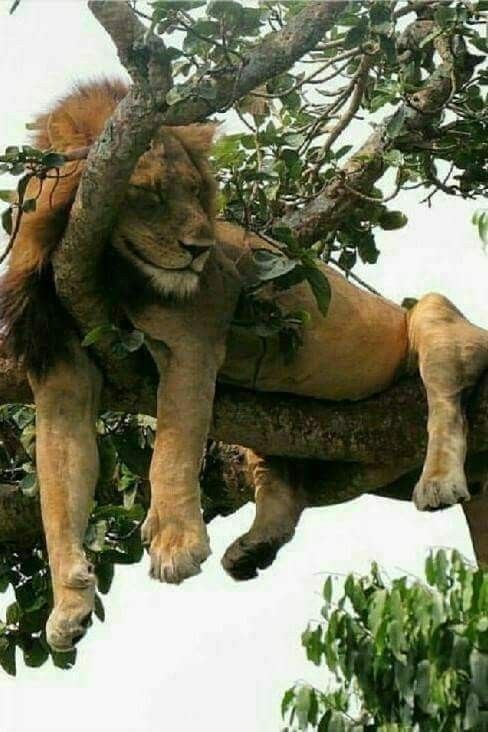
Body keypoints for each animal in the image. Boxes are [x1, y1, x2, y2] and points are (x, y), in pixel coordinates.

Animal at [1, 79, 488, 652]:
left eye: (194, 191)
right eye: (149, 194)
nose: (200, 248)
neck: (102, 270)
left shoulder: (194, 336)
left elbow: (171, 449)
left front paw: (175, 543)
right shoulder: (61, 368)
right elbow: (58, 488)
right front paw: (70, 604)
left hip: (434, 317)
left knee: (445, 398)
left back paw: (438, 481)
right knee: (284, 484)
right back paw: (253, 547)